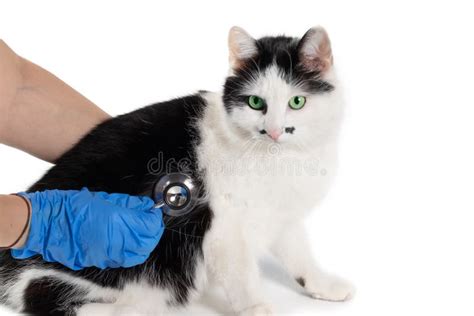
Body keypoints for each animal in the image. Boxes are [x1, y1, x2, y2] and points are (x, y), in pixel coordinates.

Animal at [0, 25, 354, 314]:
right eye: (256, 103)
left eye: (297, 102)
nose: (275, 131)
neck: (279, 160)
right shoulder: (224, 228)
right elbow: (242, 276)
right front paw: (257, 309)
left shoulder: (281, 215)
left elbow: (299, 255)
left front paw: (322, 284)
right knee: (46, 294)